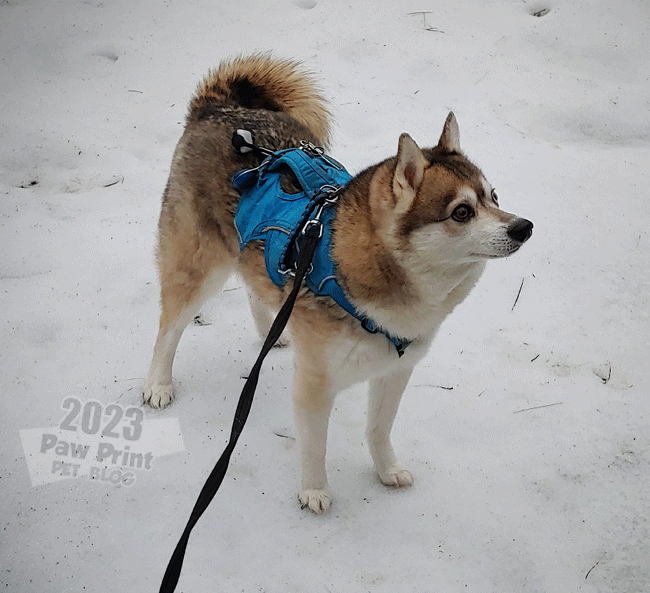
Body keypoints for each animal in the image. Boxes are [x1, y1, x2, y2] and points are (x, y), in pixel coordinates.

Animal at [143, 52, 532, 512]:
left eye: (494, 197)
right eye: (461, 212)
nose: (524, 227)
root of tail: (218, 109)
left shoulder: (395, 370)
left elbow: (379, 429)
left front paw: (386, 469)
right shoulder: (316, 381)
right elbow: (315, 446)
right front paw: (314, 490)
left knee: (256, 287)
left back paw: (273, 333)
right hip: (196, 265)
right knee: (169, 328)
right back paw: (158, 384)